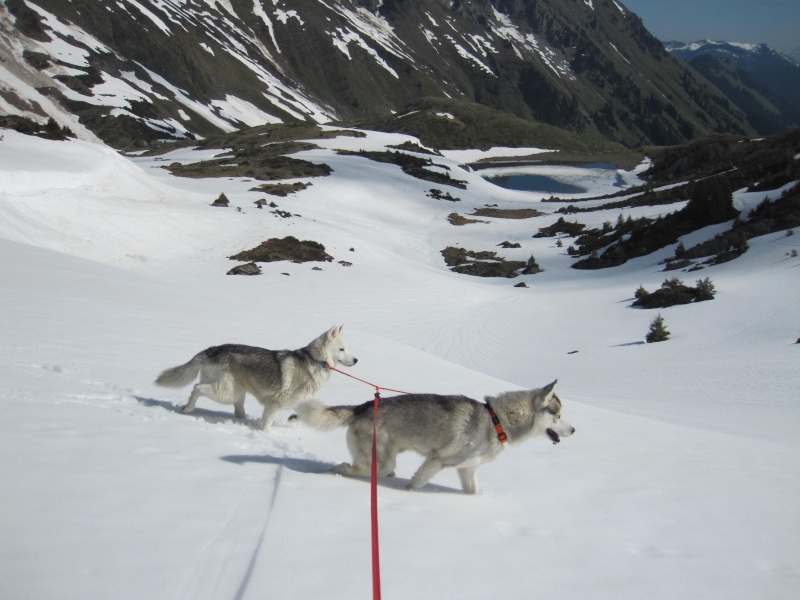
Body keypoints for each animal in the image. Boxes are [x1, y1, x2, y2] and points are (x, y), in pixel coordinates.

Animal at [155, 326, 358, 428]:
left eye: (347, 348)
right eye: (341, 349)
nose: (356, 360)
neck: (316, 361)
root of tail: (212, 349)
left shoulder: (296, 401)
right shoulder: (275, 403)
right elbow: (267, 425)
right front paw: (266, 436)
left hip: (236, 391)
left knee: (237, 409)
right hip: (225, 392)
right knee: (196, 389)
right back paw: (188, 409)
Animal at [294, 380, 576, 492]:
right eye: (559, 416)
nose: (574, 431)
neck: (496, 420)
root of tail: (361, 407)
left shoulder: (467, 469)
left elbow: (473, 492)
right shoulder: (437, 460)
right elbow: (416, 484)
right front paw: (407, 494)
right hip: (382, 461)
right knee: (345, 467)